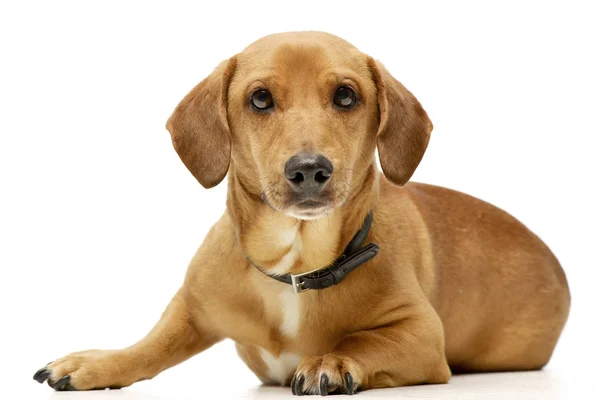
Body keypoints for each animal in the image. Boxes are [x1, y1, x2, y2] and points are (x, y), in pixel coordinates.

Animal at [34, 30, 572, 394]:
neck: (295, 266)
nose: (309, 169)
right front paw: (98, 363)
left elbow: (361, 342)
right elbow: (151, 345)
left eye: (346, 95)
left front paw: (329, 361)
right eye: (260, 98)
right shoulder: (192, 307)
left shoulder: (422, 335)